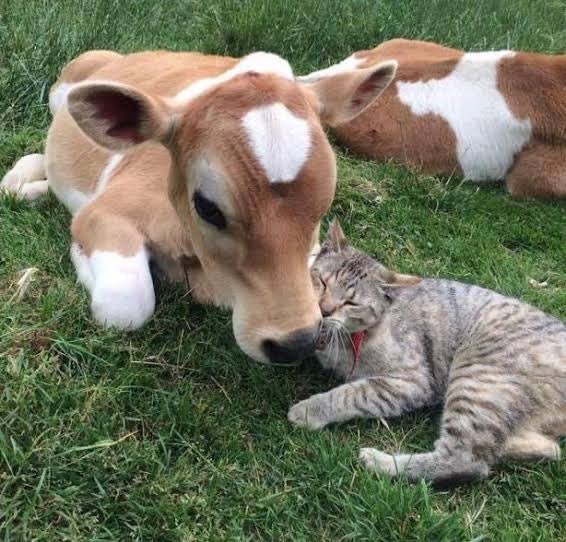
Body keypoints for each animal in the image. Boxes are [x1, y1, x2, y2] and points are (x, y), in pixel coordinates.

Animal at [2, 49, 398, 364]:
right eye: (207, 207)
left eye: (323, 203)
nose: (295, 343)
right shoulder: (102, 212)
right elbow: (124, 306)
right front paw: (81, 256)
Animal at [290, 221, 564, 488]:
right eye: (322, 281)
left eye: (351, 303)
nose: (324, 310)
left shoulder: (412, 382)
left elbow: (349, 394)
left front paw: (309, 410)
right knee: (544, 449)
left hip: (476, 379)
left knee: (466, 461)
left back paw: (380, 462)